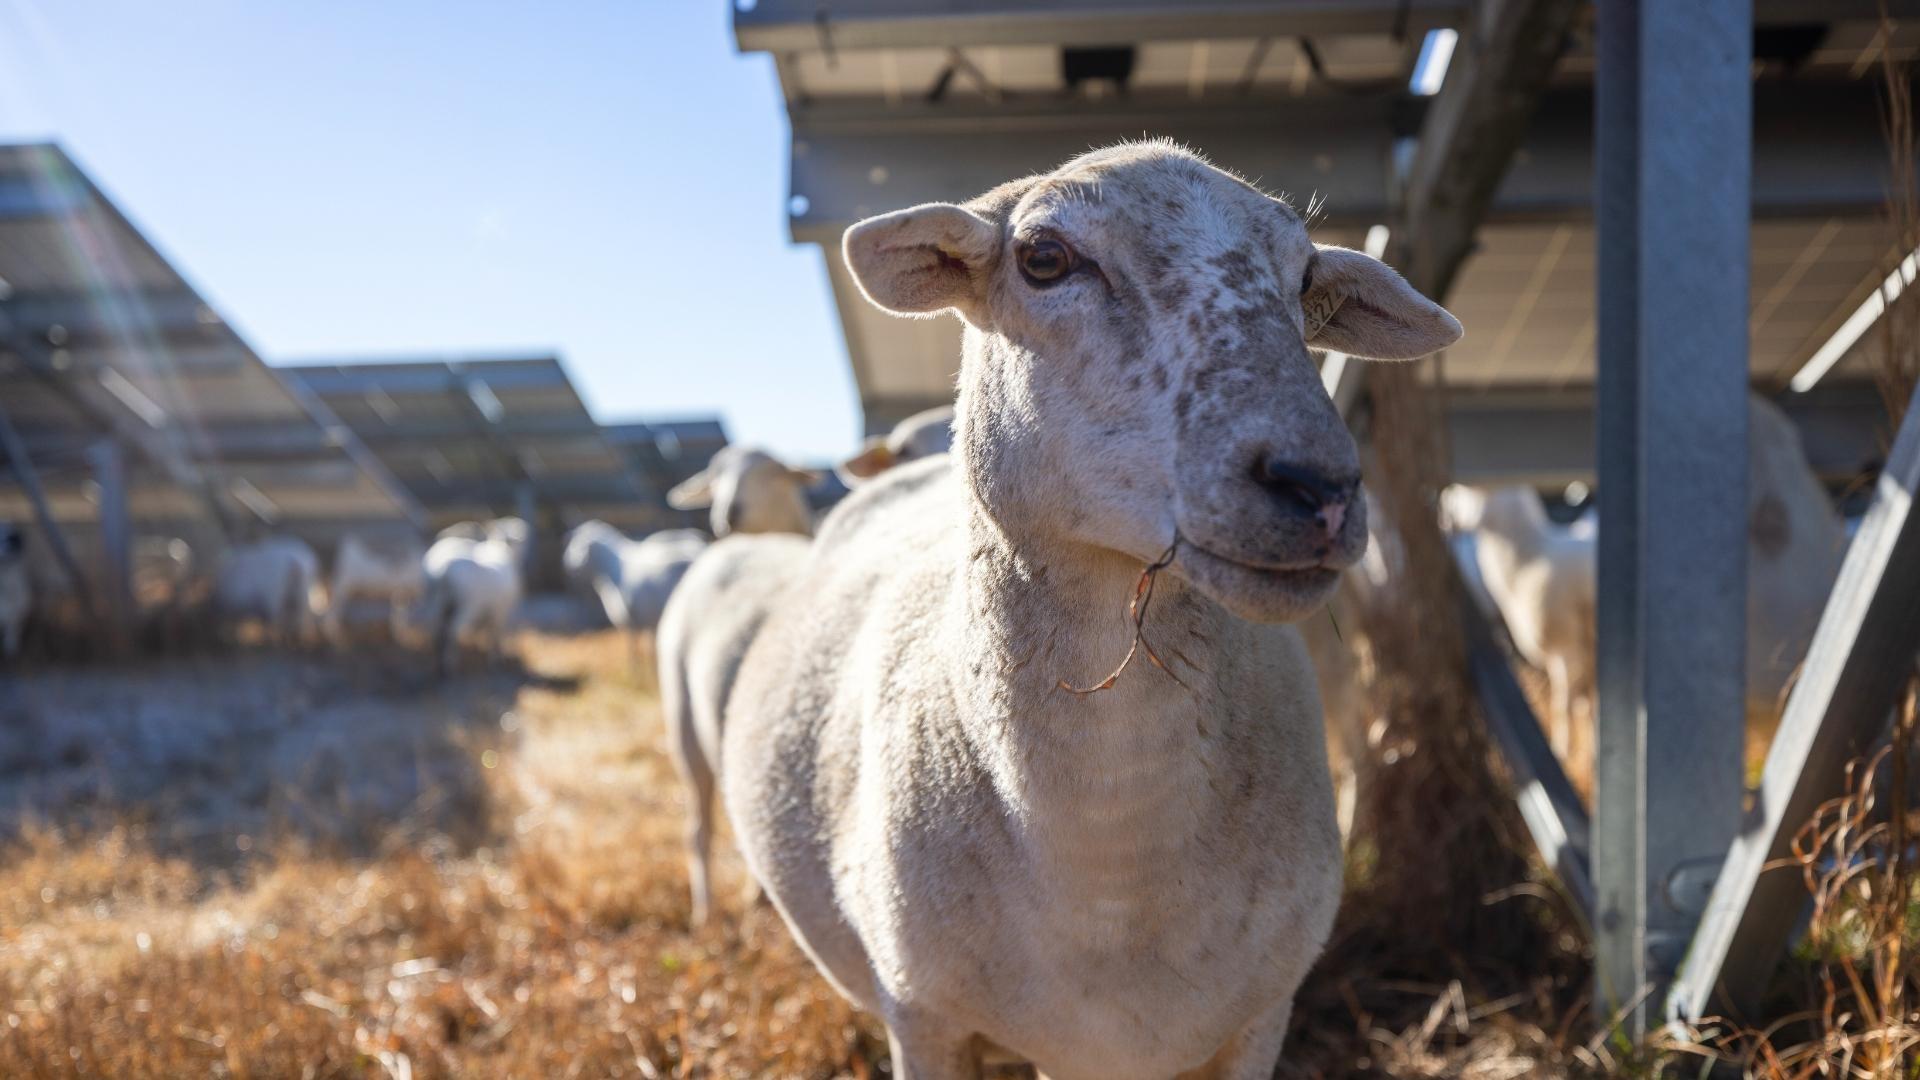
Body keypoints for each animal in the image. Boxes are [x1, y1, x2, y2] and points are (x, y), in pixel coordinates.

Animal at [422, 515, 533, 672]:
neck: (500, 551)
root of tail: (443, 571)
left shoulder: (490, 611)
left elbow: (486, 632)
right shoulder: (500, 611)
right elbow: (495, 633)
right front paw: (495, 658)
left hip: (434, 599)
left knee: (434, 627)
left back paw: (438, 660)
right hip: (466, 605)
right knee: (453, 630)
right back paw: (449, 663)